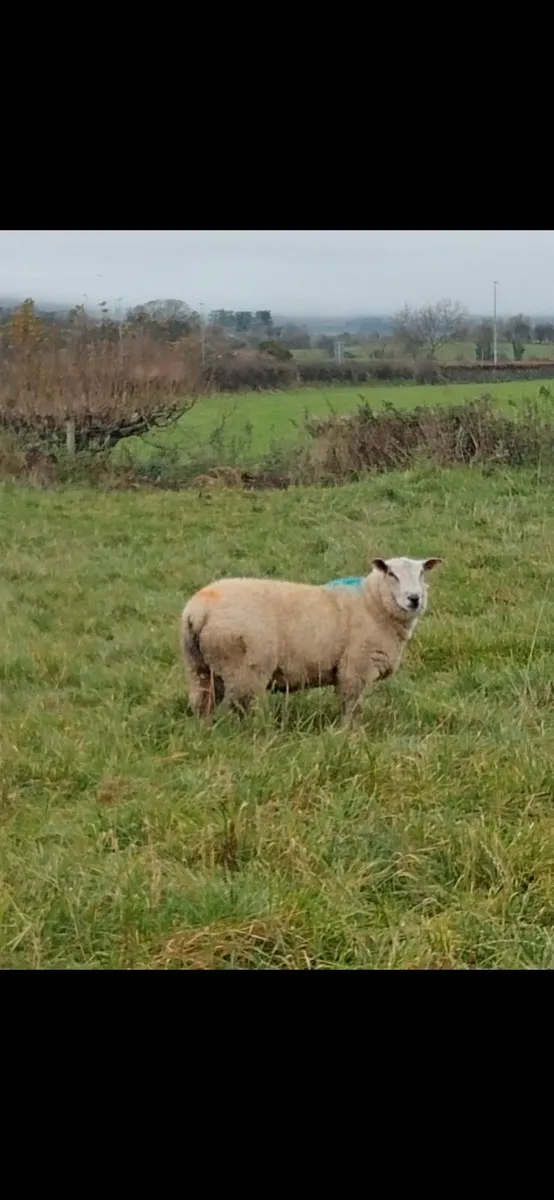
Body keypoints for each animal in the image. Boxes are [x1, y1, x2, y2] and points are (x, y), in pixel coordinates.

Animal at [180, 556, 443, 725]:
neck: (372, 603)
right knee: (244, 707)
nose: (414, 598)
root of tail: (198, 609)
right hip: (244, 667)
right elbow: (350, 707)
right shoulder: (354, 668)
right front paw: (351, 735)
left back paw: (205, 730)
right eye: (391, 573)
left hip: (198, 666)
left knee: (202, 702)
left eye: (421, 573)